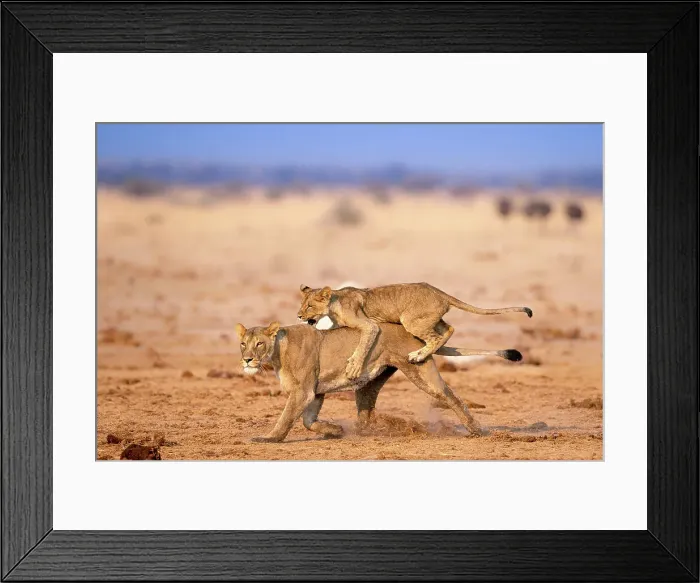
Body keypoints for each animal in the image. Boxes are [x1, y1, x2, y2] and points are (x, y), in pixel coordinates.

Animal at [234, 320, 522, 443]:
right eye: (243, 344)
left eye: (259, 344)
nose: (247, 360)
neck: (277, 353)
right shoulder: (314, 392)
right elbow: (308, 421)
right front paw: (334, 430)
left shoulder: (303, 392)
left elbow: (286, 419)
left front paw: (269, 438)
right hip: (368, 383)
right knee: (367, 412)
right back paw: (361, 433)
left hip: (420, 373)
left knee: (451, 396)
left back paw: (476, 430)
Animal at [297, 282, 532, 378]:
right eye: (302, 304)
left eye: (309, 306)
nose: (299, 316)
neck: (333, 304)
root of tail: (440, 292)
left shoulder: (369, 325)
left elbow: (363, 344)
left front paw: (354, 367)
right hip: (430, 319)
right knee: (449, 329)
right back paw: (422, 352)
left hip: (410, 320)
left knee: (438, 336)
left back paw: (418, 355)